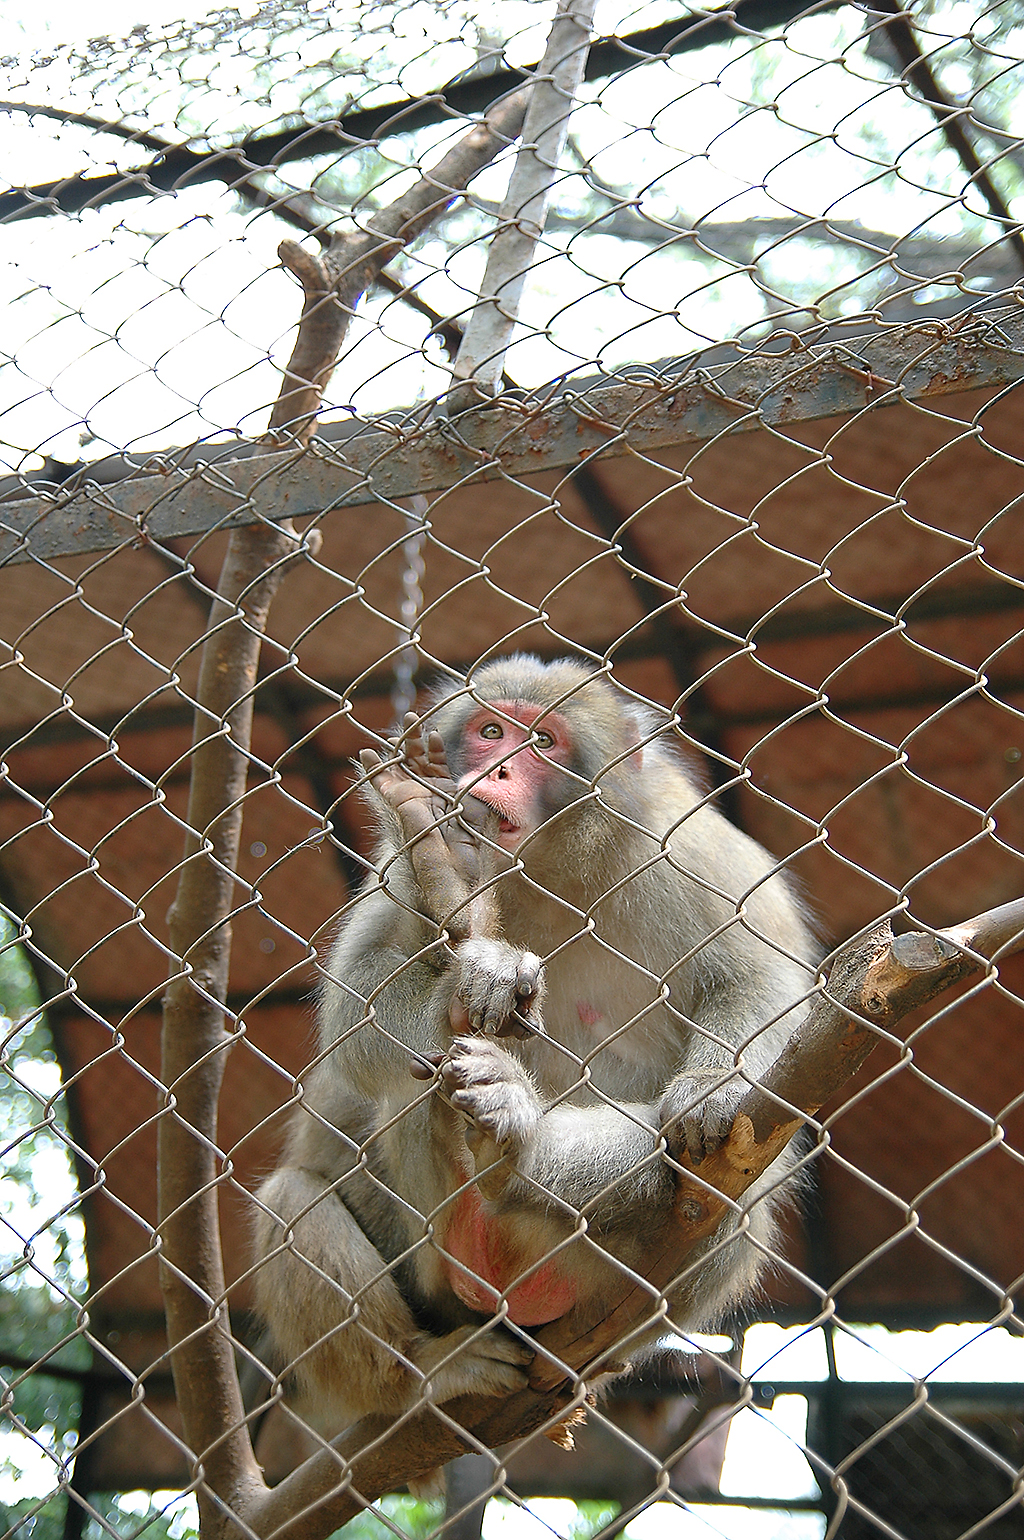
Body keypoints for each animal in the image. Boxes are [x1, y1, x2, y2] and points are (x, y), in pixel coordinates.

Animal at [254, 649, 813, 1453]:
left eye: (542, 742)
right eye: (491, 732)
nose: (498, 769)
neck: (551, 867)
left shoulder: (693, 850)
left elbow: (760, 978)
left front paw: (711, 1084)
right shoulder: (388, 869)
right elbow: (354, 1017)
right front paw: (464, 959)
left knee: (737, 1201)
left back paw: (521, 1148)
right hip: (429, 1269)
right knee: (305, 1186)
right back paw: (421, 1370)